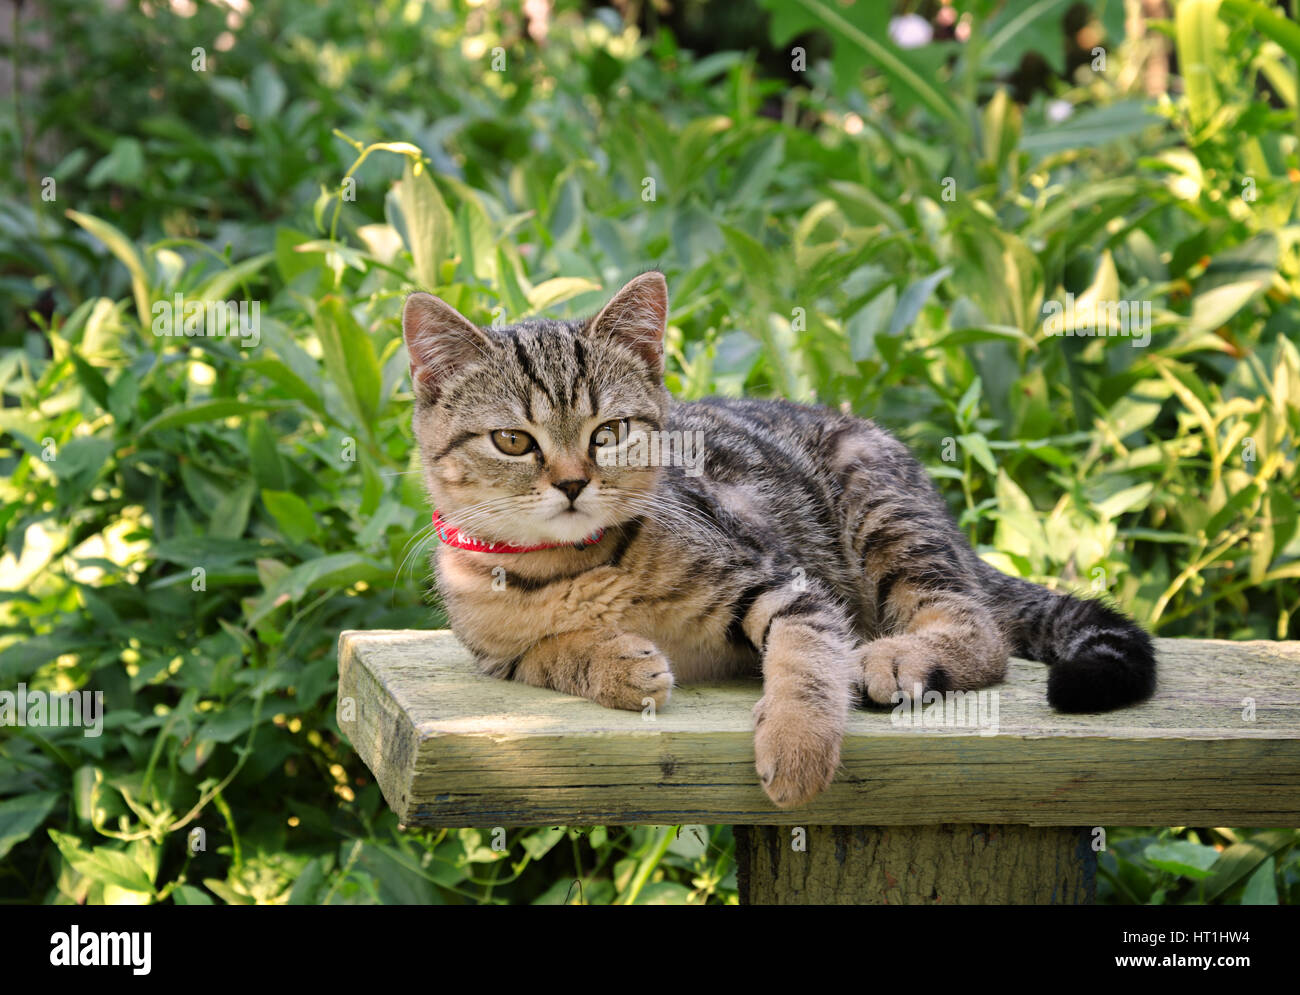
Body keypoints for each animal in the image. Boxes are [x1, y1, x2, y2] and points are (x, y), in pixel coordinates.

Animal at [400, 271, 1154, 806]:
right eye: (512, 440)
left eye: (608, 432)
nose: (572, 483)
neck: (568, 567)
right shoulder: (497, 656)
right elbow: (548, 654)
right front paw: (615, 662)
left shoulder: (780, 579)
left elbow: (806, 658)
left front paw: (797, 747)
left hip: (881, 510)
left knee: (977, 628)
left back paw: (902, 657)